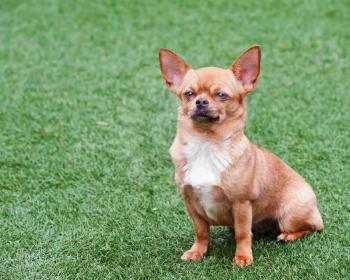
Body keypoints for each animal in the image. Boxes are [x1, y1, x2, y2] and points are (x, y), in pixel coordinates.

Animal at [159, 46, 322, 266]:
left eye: (221, 95)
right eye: (189, 94)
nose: (200, 101)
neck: (206, 144)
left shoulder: (242, 204)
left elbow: (243, 234)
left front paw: (243, 257)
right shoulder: (190, 202)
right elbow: (201, 231)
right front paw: (197, 251)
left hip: (290, 215)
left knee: (311, 227)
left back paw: (287, 236)